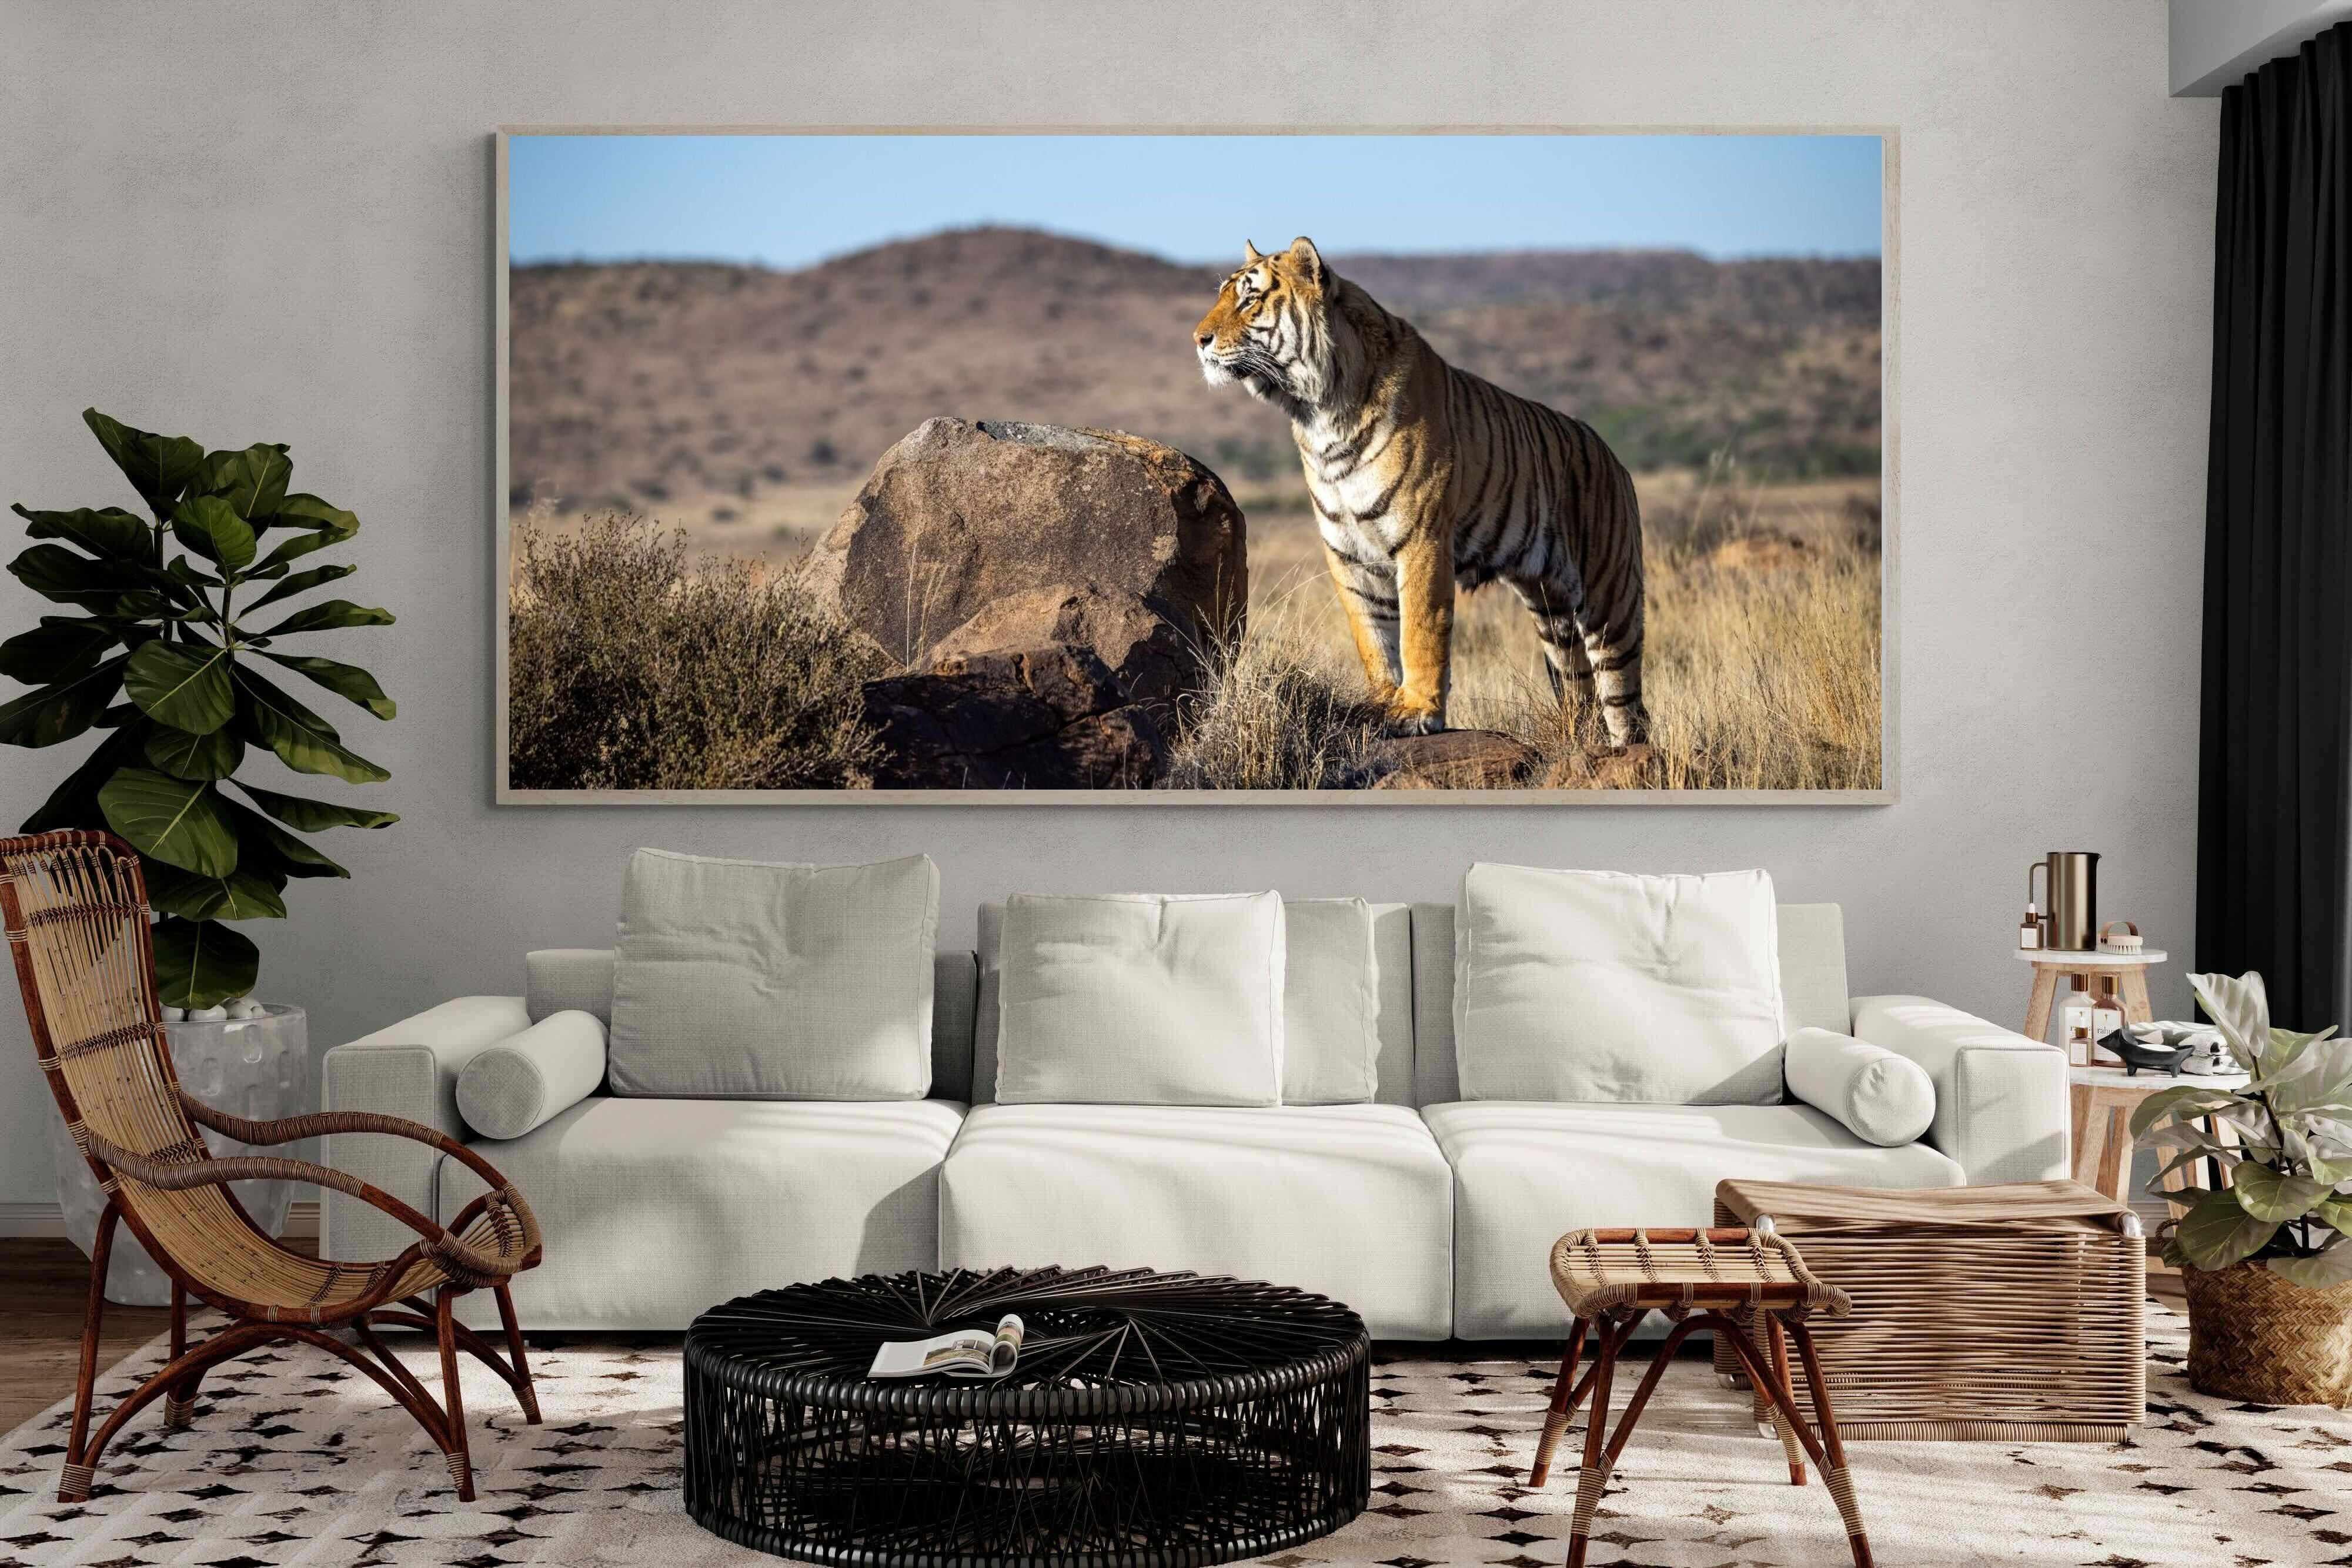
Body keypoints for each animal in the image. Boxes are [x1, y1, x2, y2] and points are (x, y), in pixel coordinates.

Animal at [1193, 236, 1648, 749]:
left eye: (1250, 299)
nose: (1198, 339)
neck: (1319, 414)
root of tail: (1614, 457)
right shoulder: (1347, 551)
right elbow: (1372, 637)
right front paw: (1381, 703)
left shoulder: (1422, 539)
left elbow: (1419, 630)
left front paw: (1417, 711)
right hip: (1553, 616)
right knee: (1580, 693)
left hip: (1610, 600)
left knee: (1627, 703)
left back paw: (1629, 752)